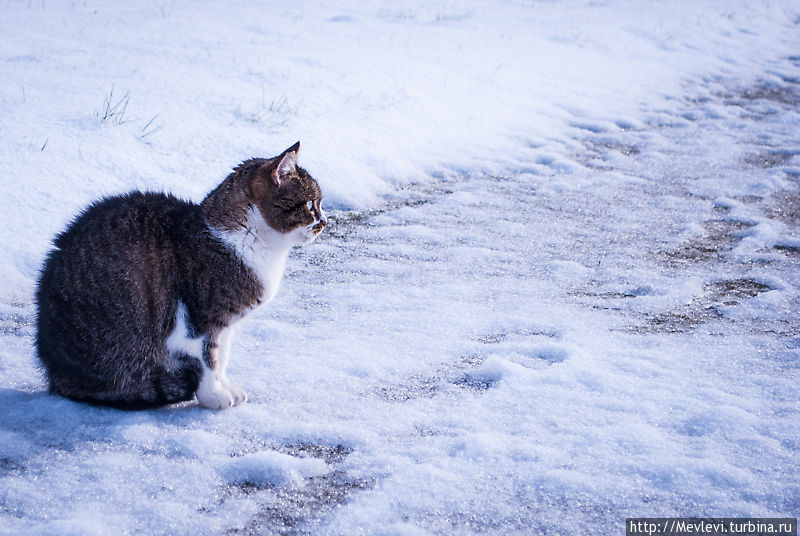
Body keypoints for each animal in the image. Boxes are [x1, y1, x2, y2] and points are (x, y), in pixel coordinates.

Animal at [35, 142, 324, 410]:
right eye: (311, 205)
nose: (325, 221)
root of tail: (53, 369)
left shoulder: (225, 324)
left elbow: (221, 358)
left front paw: (225, 386)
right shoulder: (200, 319)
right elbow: (208, 361)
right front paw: (213, 396)